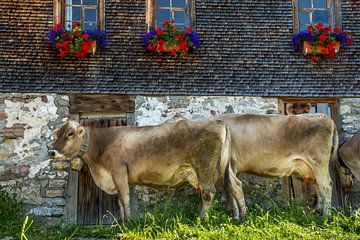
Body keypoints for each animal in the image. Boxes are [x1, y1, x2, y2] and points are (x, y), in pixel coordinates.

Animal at [47, 118, 245, 221]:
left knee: (209, 192)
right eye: (57, 134)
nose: (51, 151)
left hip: (204, 167)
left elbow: (124, 198)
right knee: (234, 186)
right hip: (225, 168)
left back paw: (201, 219)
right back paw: (241, 216)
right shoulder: (124, 177)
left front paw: (128, 222)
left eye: (70, 134)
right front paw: (122, 221)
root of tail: (218, 121)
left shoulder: (118, 171)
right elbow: (121, 200)